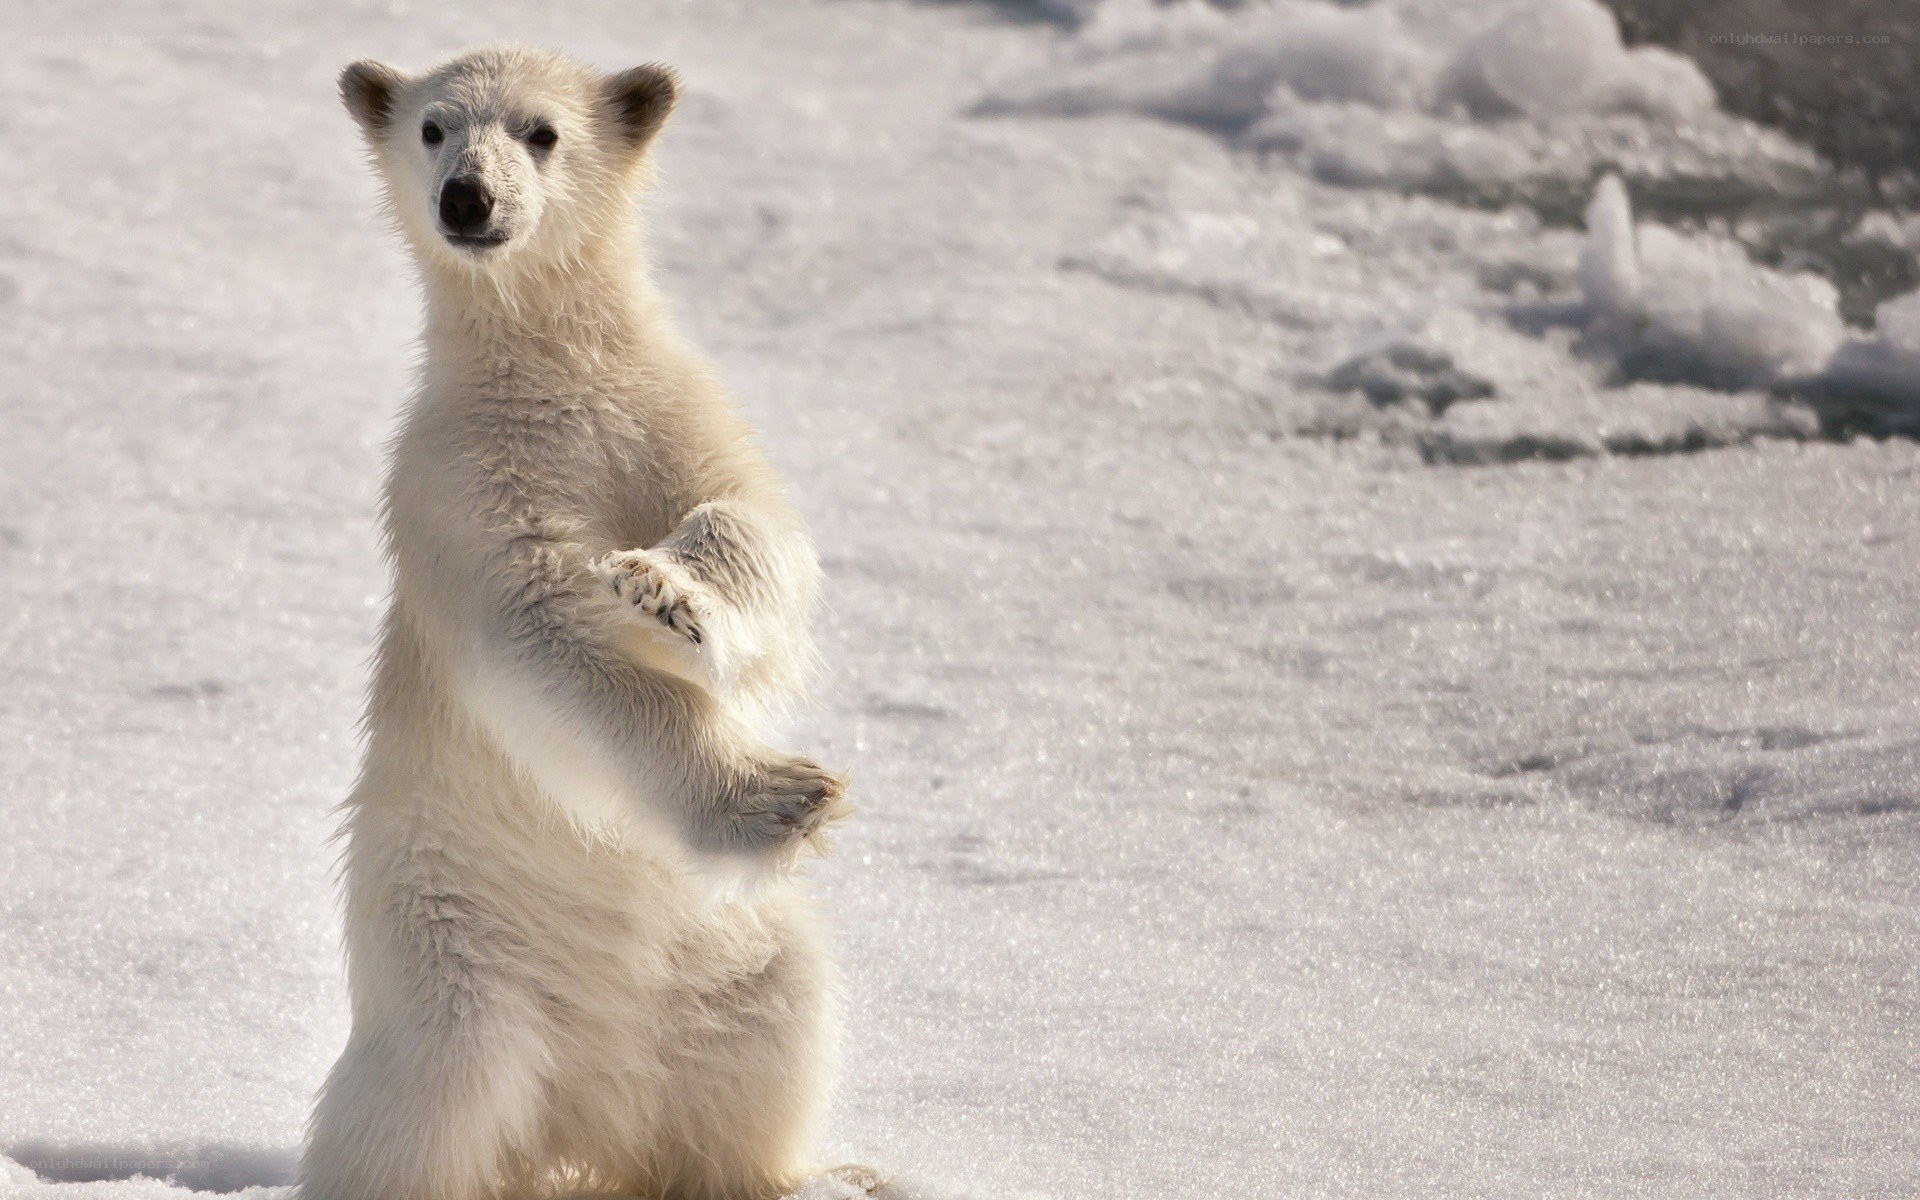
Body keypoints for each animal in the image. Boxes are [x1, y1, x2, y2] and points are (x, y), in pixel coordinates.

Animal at [298, 46, 870, 1200]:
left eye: (543, 130)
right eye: (433, 127)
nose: (468, 199)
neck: (552, 370)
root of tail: (580, 1118)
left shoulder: (668, 412)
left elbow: (755, 526)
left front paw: (667, 593)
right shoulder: (461, 482)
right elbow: (542, 636)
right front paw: (779, 796)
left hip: (726, 954)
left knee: (772, 1029)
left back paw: (810, 1174)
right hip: (451, 954)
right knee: (426, 1105)